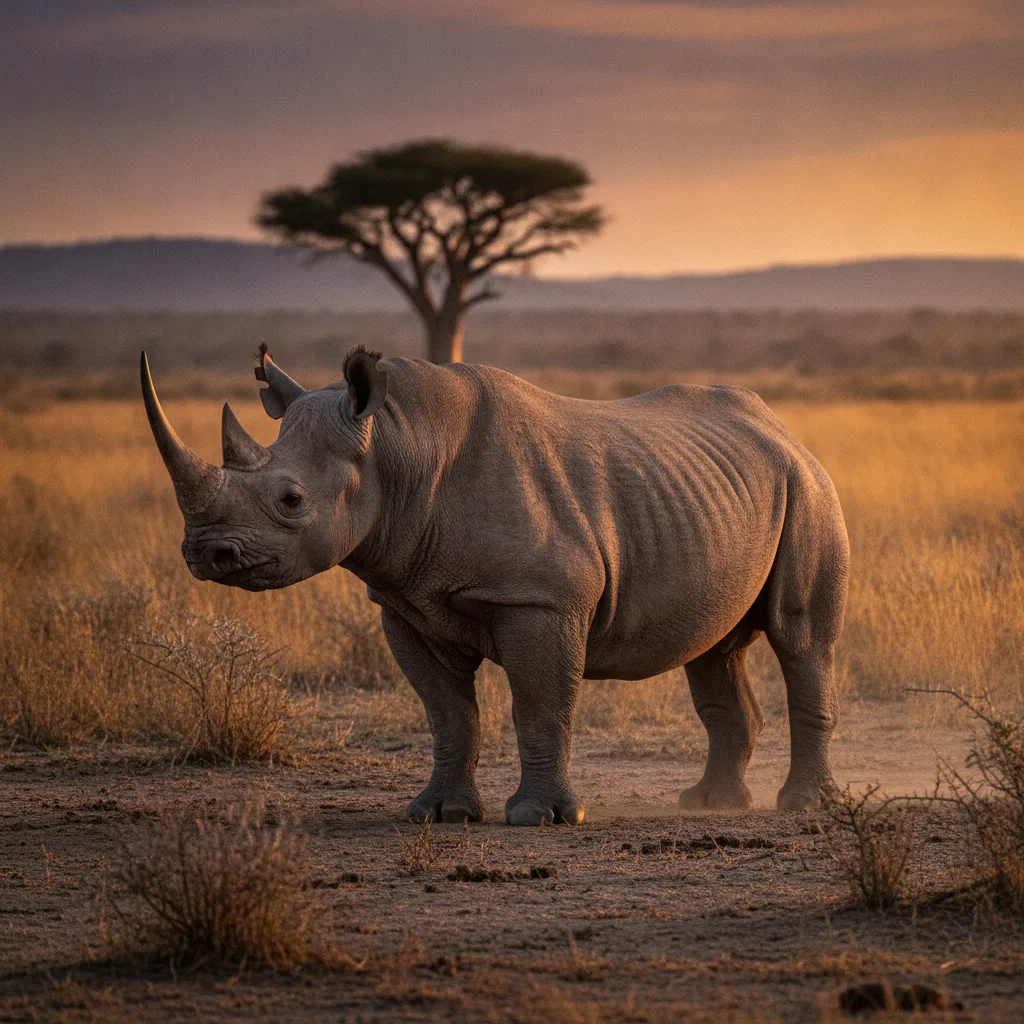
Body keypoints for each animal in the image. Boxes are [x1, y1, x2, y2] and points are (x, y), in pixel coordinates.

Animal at [141, 345, 849, 825]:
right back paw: (709, 804)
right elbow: (448, 713)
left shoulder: (541, 600)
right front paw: (437, 814)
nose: (205, 553)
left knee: (801, 639)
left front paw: (542, 819)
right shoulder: (405, 603)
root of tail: (784, 431)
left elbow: (539, 703)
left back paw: (802, 806)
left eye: (290, 500)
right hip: (717, 492)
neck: (397, 449)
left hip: (810, 488)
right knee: (712, 647)